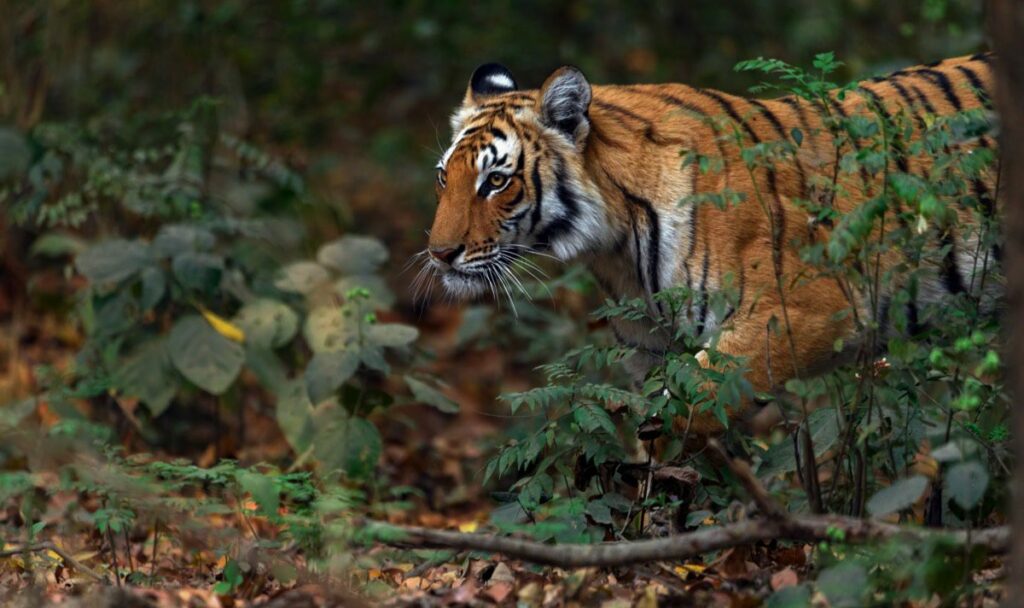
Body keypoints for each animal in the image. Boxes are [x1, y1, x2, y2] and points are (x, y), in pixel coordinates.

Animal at [421, 54, 999, 436]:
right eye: (443, 177)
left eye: (496, 181)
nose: (440, 254)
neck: (617, 247)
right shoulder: (649, 348)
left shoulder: (806, 311)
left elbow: (689, 408)